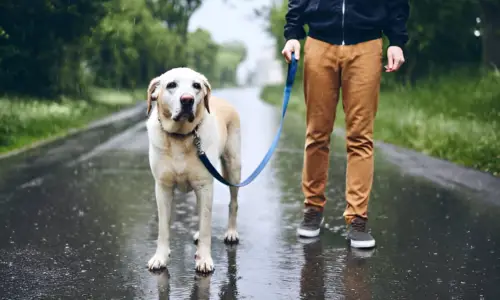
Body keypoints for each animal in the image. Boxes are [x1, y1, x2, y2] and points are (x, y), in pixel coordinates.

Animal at [144, 67, 241, 274]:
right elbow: (163, 228)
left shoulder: (205, 186)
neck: (180, 137)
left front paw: (203, 259)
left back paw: (231, 232)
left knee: (233, 203)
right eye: (171, 85)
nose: (187, 100)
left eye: (196, 85)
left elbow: (206, 228)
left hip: (233, 167)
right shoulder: (163, 188)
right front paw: (160, 257)